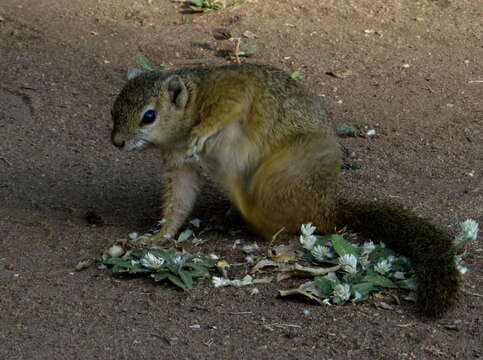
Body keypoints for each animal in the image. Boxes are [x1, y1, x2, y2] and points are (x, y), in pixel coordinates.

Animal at [110, 63, 462, 316]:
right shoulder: (179, 165)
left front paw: (202, 131)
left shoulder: (228, 88)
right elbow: (179, 204)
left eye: (149, 116)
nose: (117, 142)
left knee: (279, 220)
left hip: (281, 173)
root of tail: (329, 206)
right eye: (112, 111)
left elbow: (230, 104)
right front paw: (157, 237)